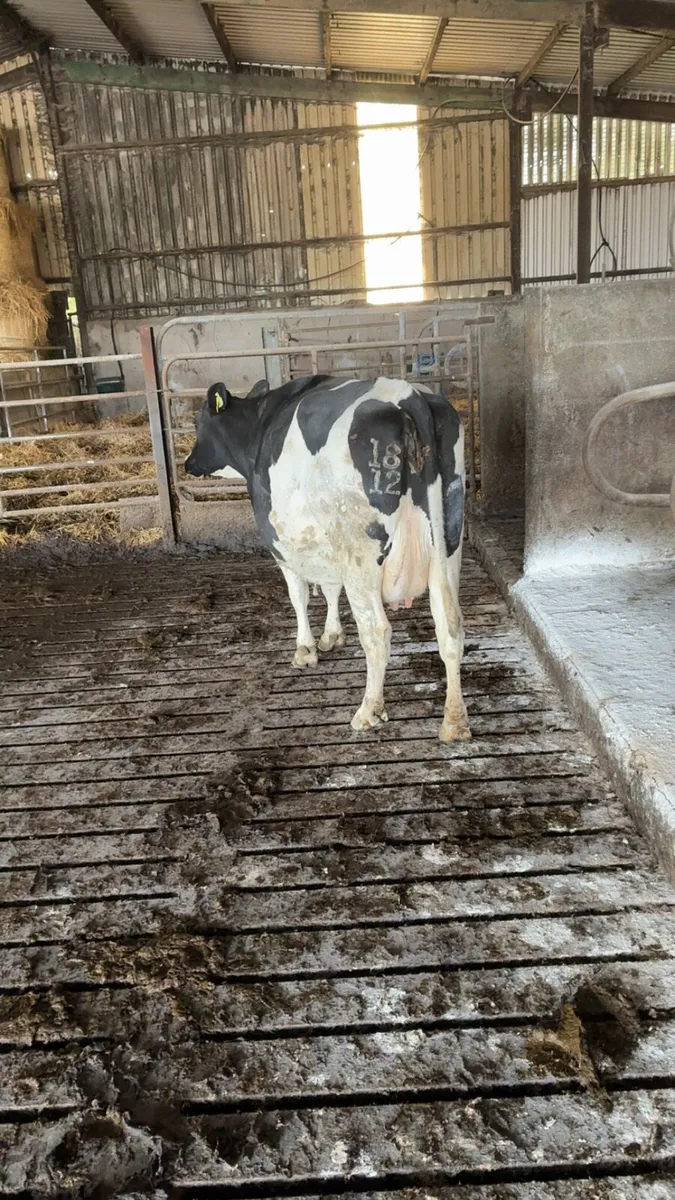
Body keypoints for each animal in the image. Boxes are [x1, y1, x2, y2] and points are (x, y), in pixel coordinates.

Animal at [185, 374, 470, 742]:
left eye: (197, 423)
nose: (189, 463)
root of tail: (405, 395)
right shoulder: (329, 546)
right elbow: (331, 588)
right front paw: (332, 635)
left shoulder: (281, 546)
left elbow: (300, 596)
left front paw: (305, 650)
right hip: (448, 544)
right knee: (450, 626)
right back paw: (455, 721)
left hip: (362, 555)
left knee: (376, 632)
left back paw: (368, 712)